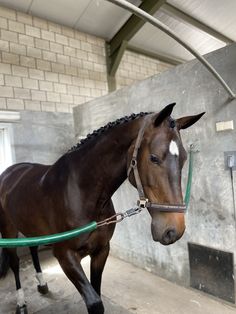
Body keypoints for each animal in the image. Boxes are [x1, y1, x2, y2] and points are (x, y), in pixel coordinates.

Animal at [0, 103, 203, 314]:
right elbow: (95, 302)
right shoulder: (65, 256)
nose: (174, 230)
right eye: (154, 158)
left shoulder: (101, 250)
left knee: (32, 248)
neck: (80, 192)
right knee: (14, 263)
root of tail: (9, 172)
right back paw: (21, 303)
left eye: (184, 159)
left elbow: (97, 290)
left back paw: (42, 284)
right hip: (8, 229)